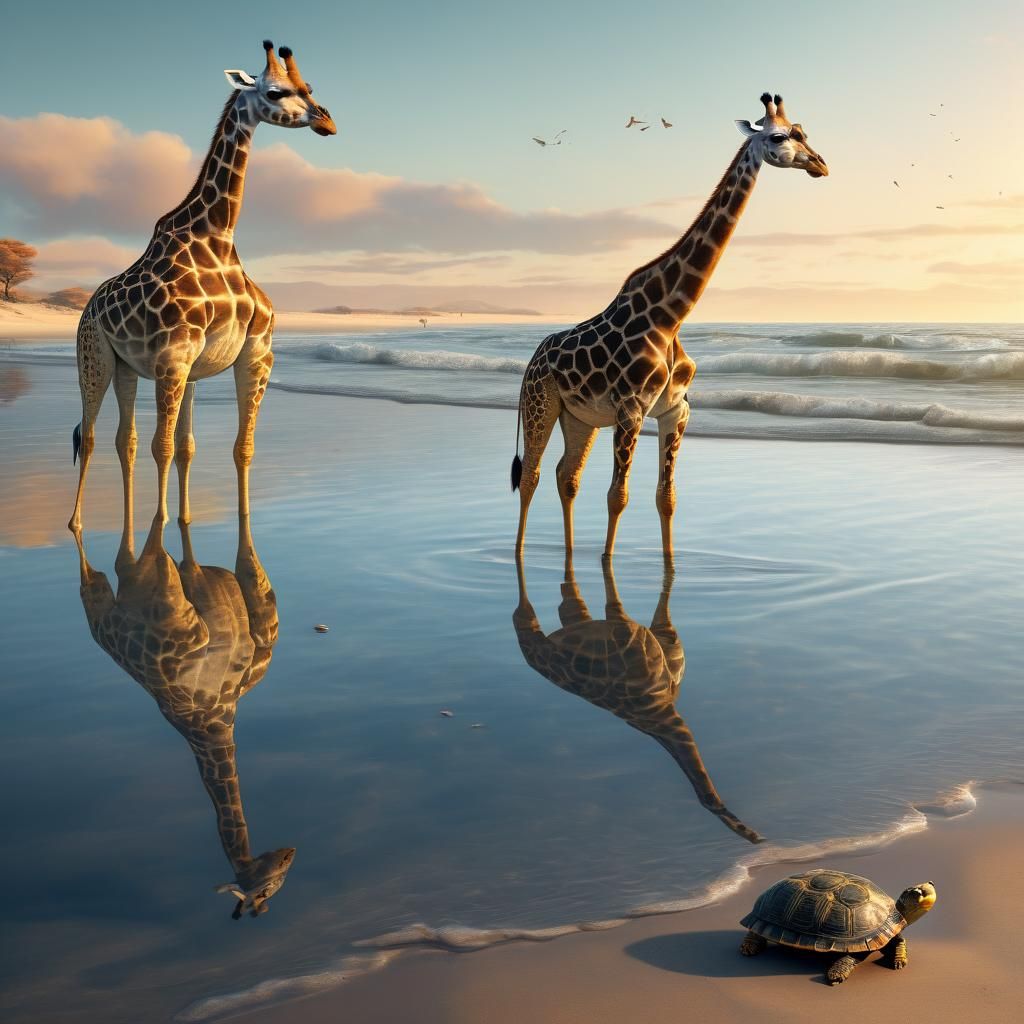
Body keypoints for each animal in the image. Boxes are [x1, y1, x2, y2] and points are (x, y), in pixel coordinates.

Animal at [69, 40, 336, 533]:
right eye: (274, 91)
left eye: (308, 87)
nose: (325, 121)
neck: (218, 236)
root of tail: (89, 305)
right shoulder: (172, 358)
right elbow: (163, 446)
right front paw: (160, 529)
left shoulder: (254, 352)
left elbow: (227, 447)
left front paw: (210, 522)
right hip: (94, 355)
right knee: (93, 435)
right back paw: (79, 523)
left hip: (132, 367)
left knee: (126, 439)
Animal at [511, 93, 827, 558]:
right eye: (778, 137)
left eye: (804, 131)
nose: (820, 165)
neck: (671, 316)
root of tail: (532, 359)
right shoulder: (630, 411)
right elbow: (618, 496)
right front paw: (607, 562)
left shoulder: (676, 410)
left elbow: (667, 497)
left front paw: (669, 564)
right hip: (540, 403)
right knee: (530, 476)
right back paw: (517, 555)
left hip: (581, 417)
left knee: (566, 476)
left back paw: (567, 555)